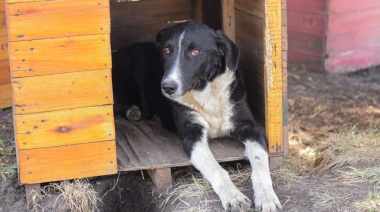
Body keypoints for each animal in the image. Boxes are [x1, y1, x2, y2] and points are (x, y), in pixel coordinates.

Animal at [156, 20, 284, 211]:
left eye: (195, 51)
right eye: (166, 50)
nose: (168, 87)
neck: (207, 93)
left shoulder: (248, 127)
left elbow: (260, 163)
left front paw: (266, 197)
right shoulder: (192, 134)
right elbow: (216, 168)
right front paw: (233, 196)